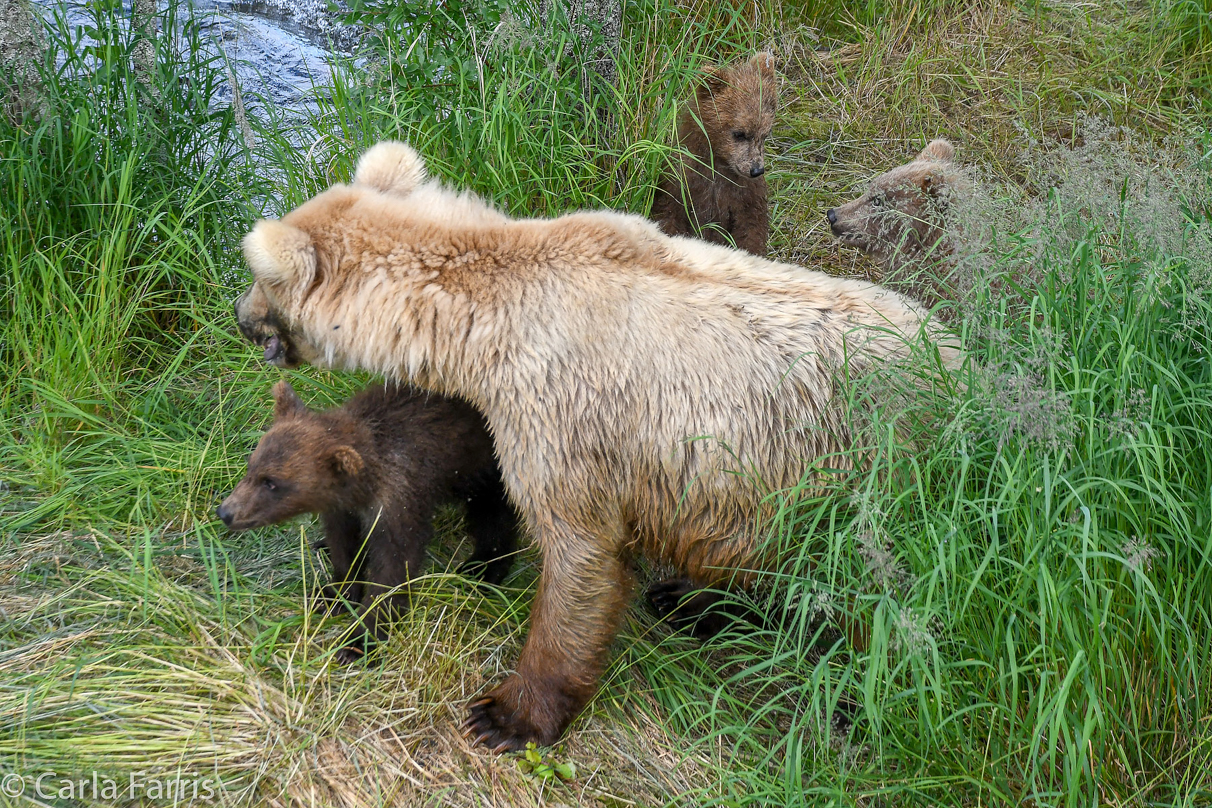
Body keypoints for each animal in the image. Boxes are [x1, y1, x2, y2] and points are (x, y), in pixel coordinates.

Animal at [233, 140, 955, 751]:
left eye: (258, 278)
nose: (240, 316)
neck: (485, 323)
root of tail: (962, 361)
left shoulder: (565, 415)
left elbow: (576, 555)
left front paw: (506, 714)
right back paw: (687, 600)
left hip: (865, 470)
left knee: (877, 592)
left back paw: (857, 701)